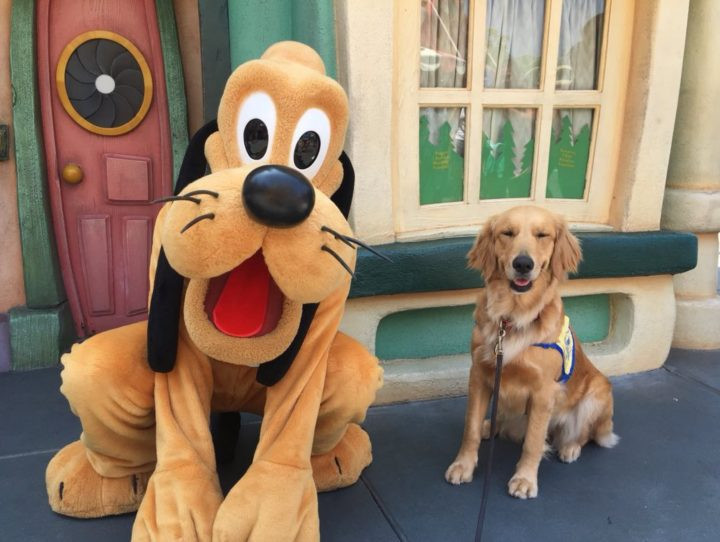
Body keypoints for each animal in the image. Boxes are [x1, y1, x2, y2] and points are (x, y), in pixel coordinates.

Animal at [444, 206, 620, 500]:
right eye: (507, 233)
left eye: (542, 235)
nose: (523, 264)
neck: (512, 317)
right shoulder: (479, 375)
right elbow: (470, 429)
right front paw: (463, 465)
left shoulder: (543, 392)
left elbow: (534, 442)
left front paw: (525, 479)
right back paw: (490, 426)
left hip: (597, 394)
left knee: (582, 434)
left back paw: (570, 447)